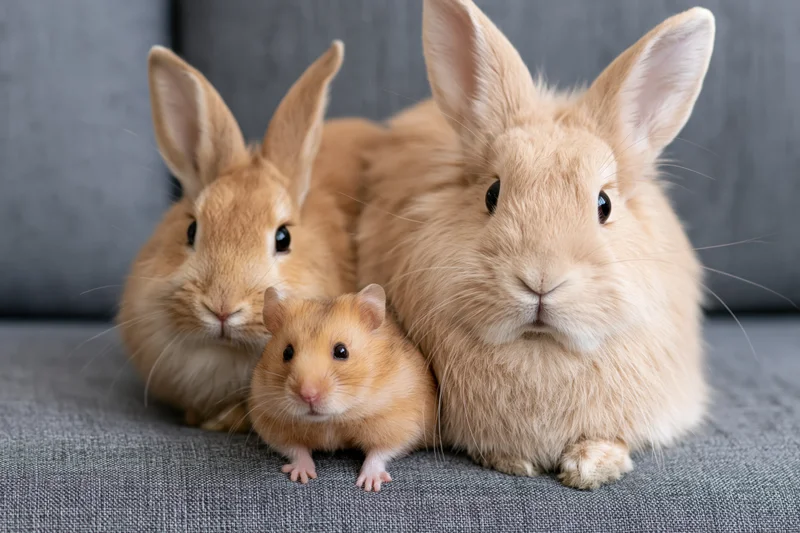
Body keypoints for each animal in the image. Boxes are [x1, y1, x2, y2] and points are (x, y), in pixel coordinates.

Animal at [249, 284, 437, 492]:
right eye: (287, 352)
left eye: (341, 351)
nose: (308, 395)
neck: (331, 421)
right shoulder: (270, 421)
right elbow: (295, 449)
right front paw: (302, 476)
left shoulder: (404, 421)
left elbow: (381, 451)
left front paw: (369, 485)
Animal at [357, 0, 714, 489]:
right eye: (492, 194)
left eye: (603, 205)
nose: (541, 281)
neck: (541, 348)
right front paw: (514, 461)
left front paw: (590, 468)